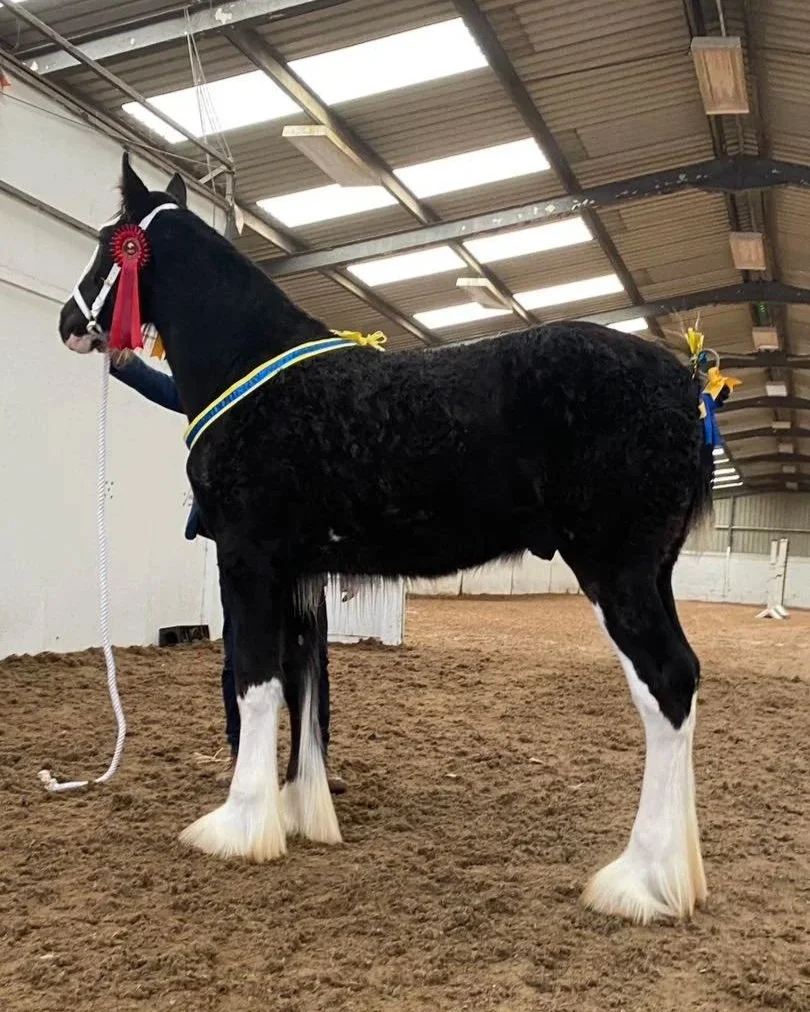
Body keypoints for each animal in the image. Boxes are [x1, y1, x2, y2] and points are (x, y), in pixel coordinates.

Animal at [58, 153, 712, 925]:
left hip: (617, 571)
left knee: (666, 685)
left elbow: (255, 681)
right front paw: (299, 812)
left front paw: (239, 826)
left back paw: (639, 881)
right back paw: (679, 877)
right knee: (686, 683)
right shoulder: (300, 571)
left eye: (109, 242)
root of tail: (686, 384)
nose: (68, 322)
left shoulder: (250, 559)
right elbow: (303, 681)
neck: (256, 372)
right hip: (653, 572)